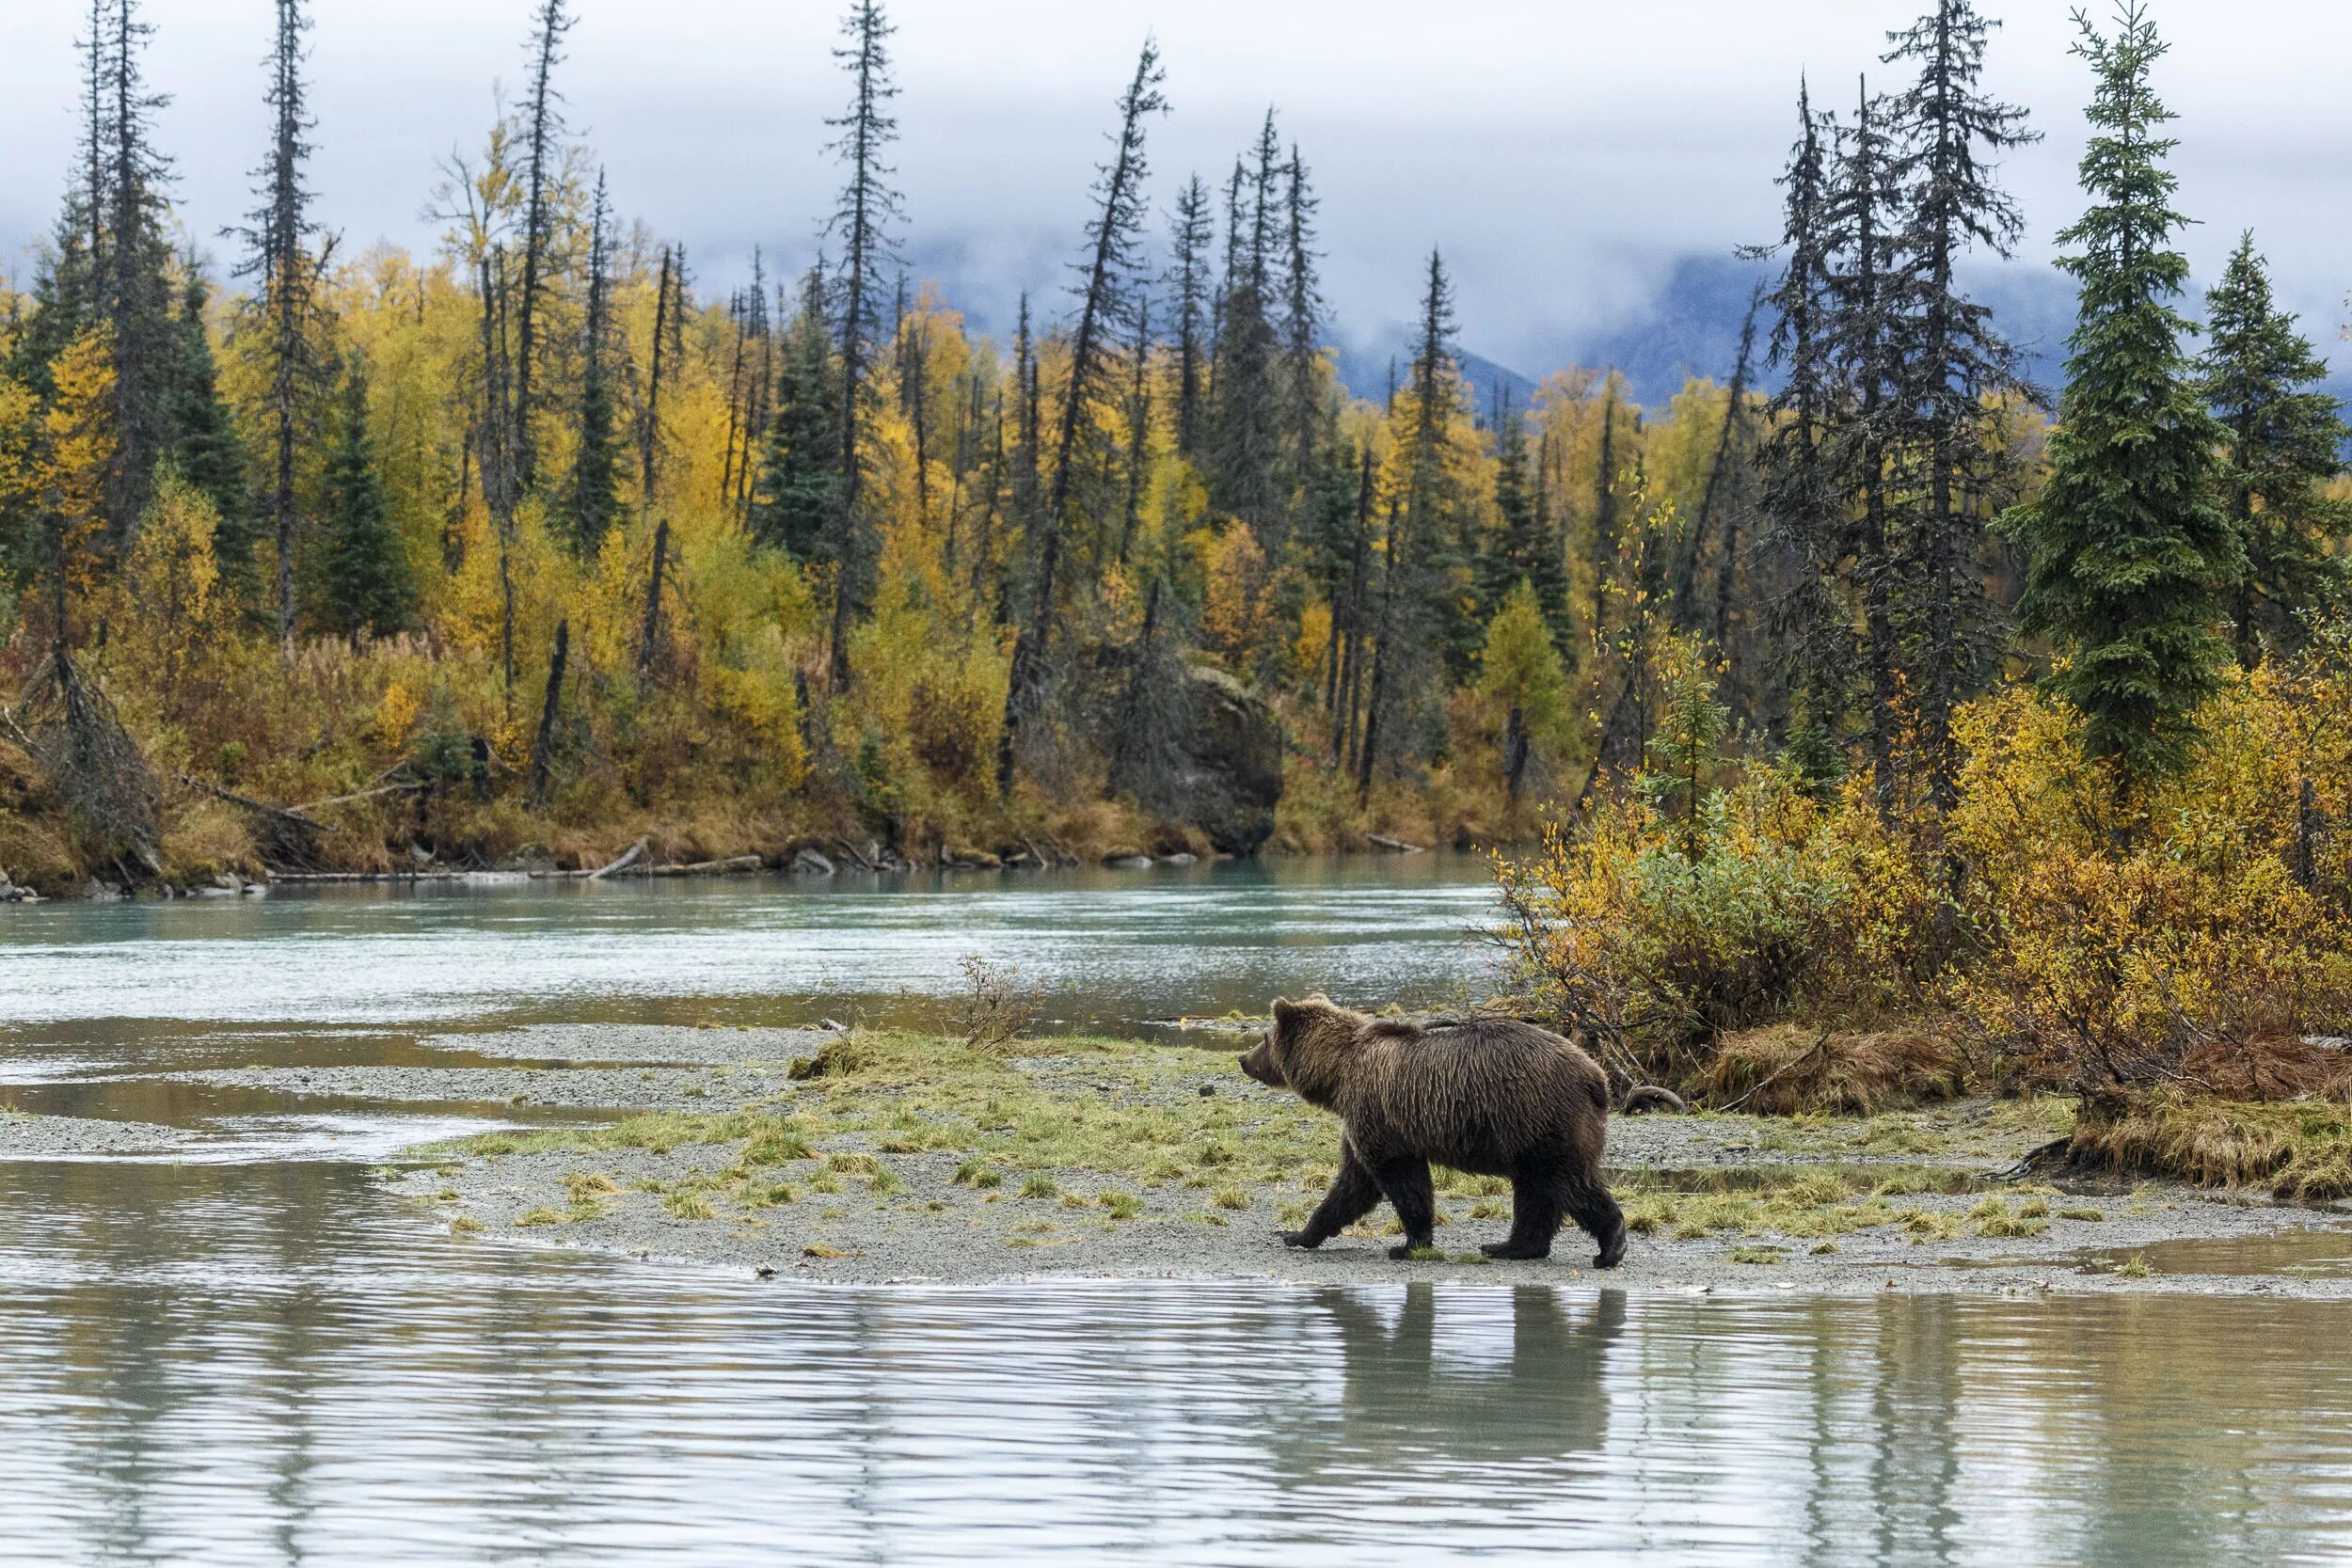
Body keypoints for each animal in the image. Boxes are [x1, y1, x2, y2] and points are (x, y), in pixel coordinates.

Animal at [1242, 1001, 1628, 1269]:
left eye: (1264, 1038)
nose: (1243, 1059)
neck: (1338, 1073)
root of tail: (1596, 1076)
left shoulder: (1376, 1113)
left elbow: (1399, 1179)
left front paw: (1407, 1244)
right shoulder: (1364, 1121)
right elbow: (1353, 1184)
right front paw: (1300, 1234)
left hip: (1541, 1117)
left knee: (1567, 1180)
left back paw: (1611, 1246)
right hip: (1527, 1134)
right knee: (1534, 1190)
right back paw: (1510, 1247)